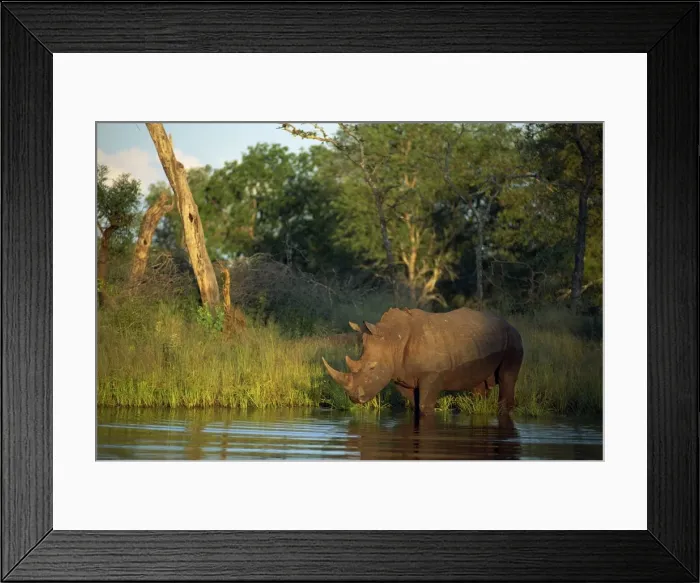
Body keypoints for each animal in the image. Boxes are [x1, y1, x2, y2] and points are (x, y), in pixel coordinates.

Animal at [322, 307, 524, 415]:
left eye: (372, 368)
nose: (354, 398)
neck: (391, 339)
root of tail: (509, 324)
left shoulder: (432, 375)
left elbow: (425, 405)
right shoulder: (402, 377)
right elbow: (414, 405)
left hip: (513, 339)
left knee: (506, 378)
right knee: (479, 385)